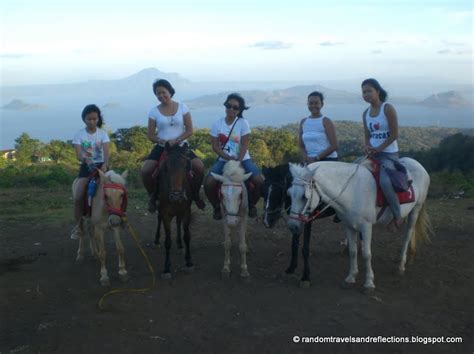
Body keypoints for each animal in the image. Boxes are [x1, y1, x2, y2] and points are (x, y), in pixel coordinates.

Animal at [156, 142, 193, 278]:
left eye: (186, 166)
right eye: (166, 167)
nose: (176, 196)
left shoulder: (186, 211)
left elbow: (187, 236)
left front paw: (188, 261)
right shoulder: (165, 214)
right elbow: (167, 241)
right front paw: (166, 267)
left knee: (178, 222)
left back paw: (180, 244)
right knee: (159, 218)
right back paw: (156, 240)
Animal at [286, 159, 432, 292]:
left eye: (304, 197)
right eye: (289, 193)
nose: (293, 226)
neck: (351, 190)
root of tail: (417, 163)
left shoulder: (366, 227)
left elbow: (367, 254)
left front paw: (369, 283)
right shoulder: (349, 226)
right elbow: (353, 251)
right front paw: (350, 278)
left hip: (415, 210)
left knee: (407, 235)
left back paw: (401, 265)